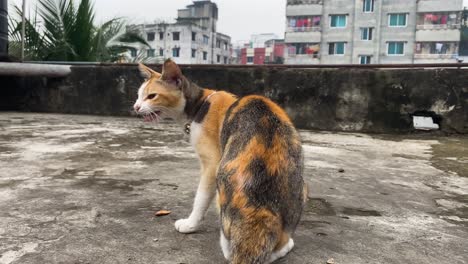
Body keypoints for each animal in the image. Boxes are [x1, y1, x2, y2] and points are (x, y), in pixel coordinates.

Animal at [133, 59, 306, 264]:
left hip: (221, 183)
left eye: (152, 96)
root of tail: (260, 210)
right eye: (138, 96)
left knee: (231, 250)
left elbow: (200, 198)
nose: (135, 107)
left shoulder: (211, 164)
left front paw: (190, 224)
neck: (200, 104)